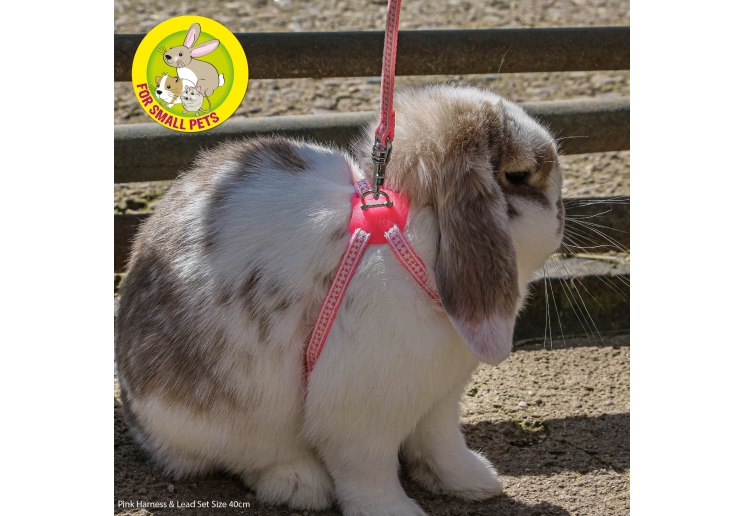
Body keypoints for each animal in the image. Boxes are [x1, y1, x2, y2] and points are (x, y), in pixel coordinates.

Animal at [115, 84, 564, 516]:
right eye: (518, 175)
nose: (562, 215)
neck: (418, 245)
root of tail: (137, 416)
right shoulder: (362, 413)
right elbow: (368, 471)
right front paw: (393, 513)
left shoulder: (439, 399)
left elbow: (441, 446)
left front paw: (475, 483)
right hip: (223, 416)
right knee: (250, 455)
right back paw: (300, 484)